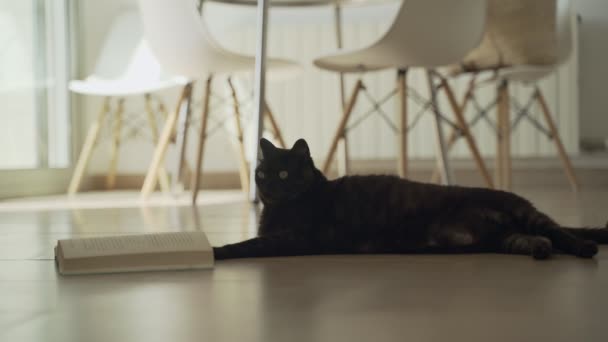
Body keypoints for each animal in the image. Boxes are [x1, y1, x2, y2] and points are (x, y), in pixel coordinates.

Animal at [214, 138, 608, 260]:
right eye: (261, 174)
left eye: (282, 174)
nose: (266, 188)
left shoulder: (295, 238)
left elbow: (247, 245)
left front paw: (217, 251)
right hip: (506, 237)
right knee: (534, 239)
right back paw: (541, 250)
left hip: (523, 213)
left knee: (558, 231)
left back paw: (585, 247)